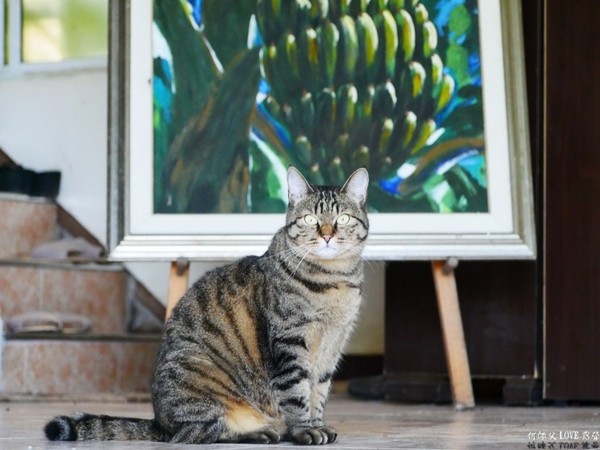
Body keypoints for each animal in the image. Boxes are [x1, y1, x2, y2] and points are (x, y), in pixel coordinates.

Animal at [44, 167, 368, 444]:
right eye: (311, 220)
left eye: (343, 219)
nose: (327, 235)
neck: (334, 279)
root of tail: (160, 423)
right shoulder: (289, 343)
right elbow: (297, 393)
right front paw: (304, 431)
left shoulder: (332, 348)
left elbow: (318, 393)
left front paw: (318, 425)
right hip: (202, 378)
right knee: (199, 433)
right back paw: (258, 433)